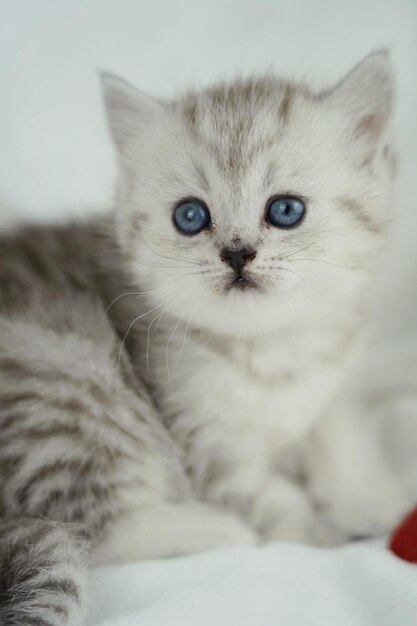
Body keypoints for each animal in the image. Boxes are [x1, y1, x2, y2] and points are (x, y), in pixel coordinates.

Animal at [0, 51, 404, 620]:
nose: (236, 253)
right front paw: (320, 532)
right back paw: (210, 530)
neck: (273, 355)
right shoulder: (206, 442)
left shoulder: (331, 377)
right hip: (67, 380)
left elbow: (334, 424)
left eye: (286, 209)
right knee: (90, 528)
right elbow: (271, 501)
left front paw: (365, 496)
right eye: (190, 216)